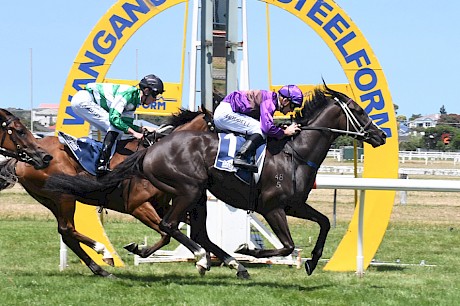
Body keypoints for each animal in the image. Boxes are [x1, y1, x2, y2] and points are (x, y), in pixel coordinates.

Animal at [0, 107, 212, 278]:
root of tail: (22, 159)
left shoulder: (161, 205)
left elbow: (183, 228)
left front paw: (212, 257)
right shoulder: (138, 206)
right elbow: (166, 232)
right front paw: (201, 259)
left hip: (52, 200)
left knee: (66, 233)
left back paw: (101, 269)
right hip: (64, 197)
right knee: (67, 229)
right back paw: (104, 252)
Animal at [48, 82, 388, 278]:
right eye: (357, 110)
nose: (381, 135)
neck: (295, 153)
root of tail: (152, 148)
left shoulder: (294, 205)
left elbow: (325, 223)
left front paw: (313, 262)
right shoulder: (272, 207)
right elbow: (287, 245)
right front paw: (249, 251)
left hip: (196, 196)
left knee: (182, 229)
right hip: (188, 190)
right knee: (170, 225)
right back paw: (203, 259)